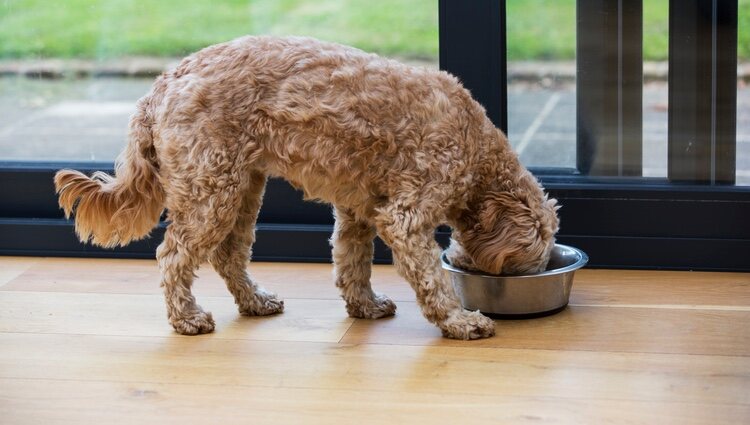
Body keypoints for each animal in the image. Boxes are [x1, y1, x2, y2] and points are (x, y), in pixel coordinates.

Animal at [55, 37, 560, 342]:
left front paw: (364, 306)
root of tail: (161, 86)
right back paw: (187, 317)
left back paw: (254, 301)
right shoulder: (406, 216)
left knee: (228, 254)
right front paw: (459, 321)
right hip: (210, 192)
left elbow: (352, 262)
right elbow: (432, 278)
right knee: (173, 255)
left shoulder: (359, 211)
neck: (477, 150)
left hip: (241, 187)